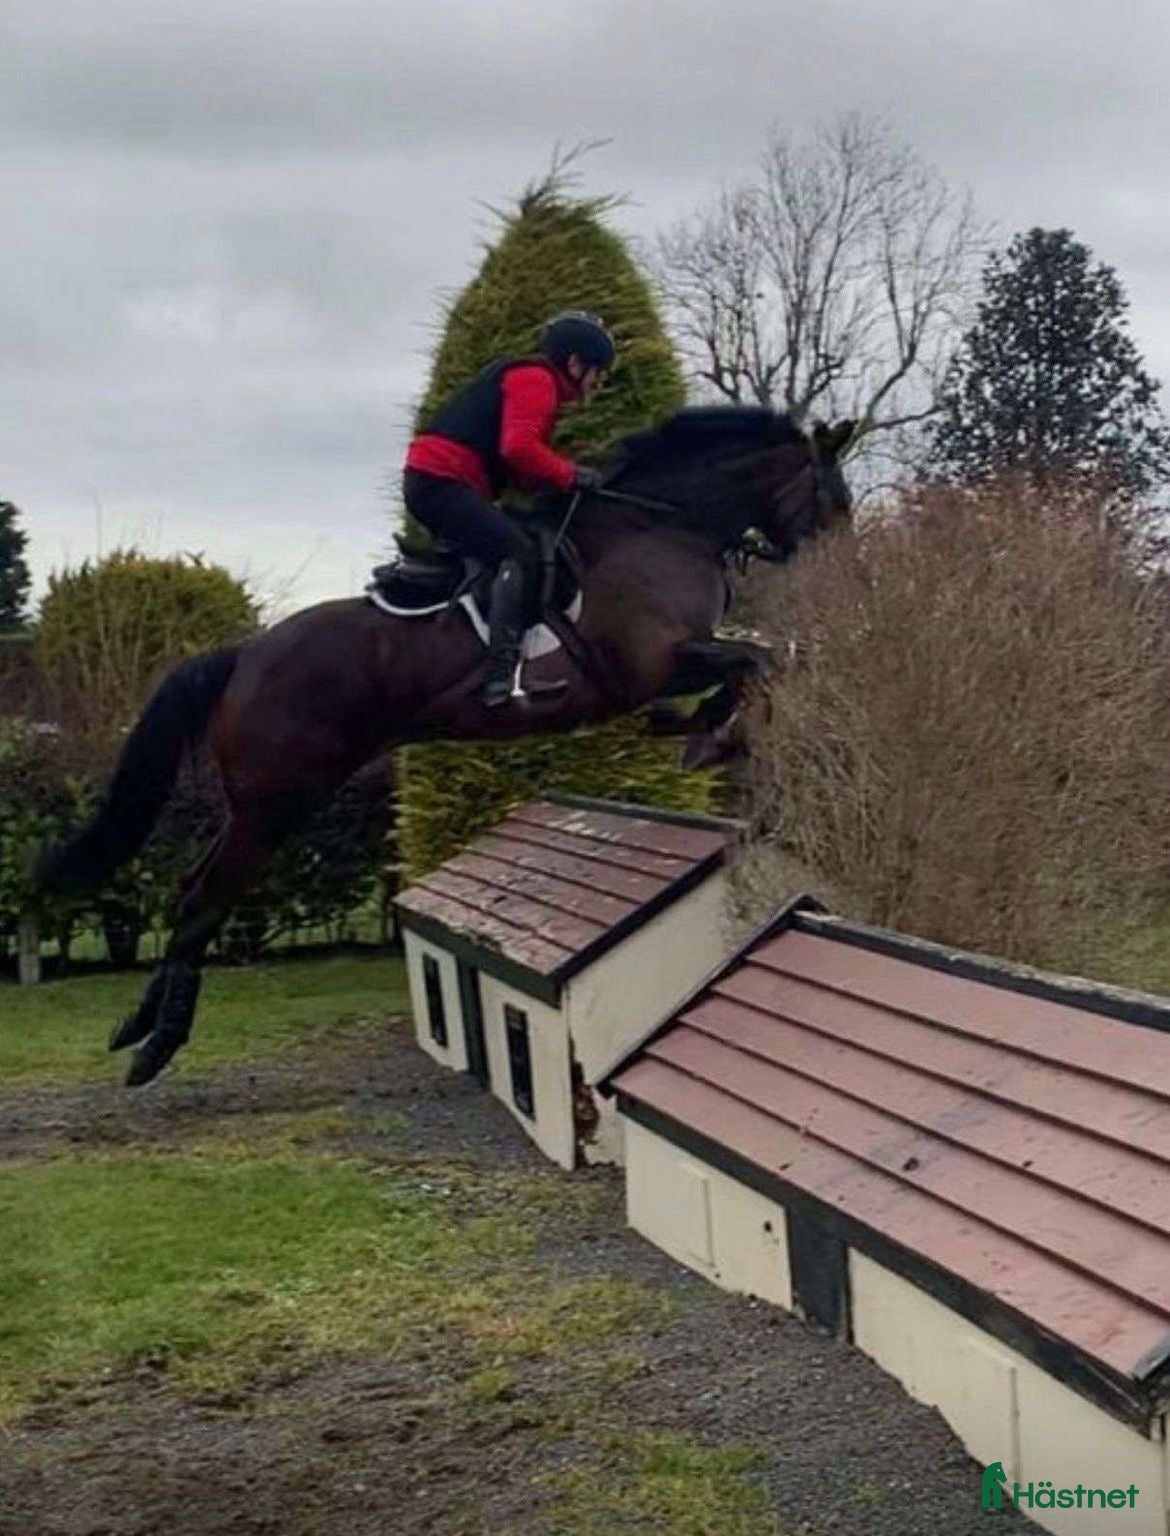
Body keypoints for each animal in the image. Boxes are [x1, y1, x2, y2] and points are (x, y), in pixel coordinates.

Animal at [36, 405, 854, 1086]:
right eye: (832, 498)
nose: (845, 569)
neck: (663, 526)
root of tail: (245, 654)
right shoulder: (654, 660)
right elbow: (755, 662)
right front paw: (706, 733)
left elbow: (762, 660)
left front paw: (699, 730)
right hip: (275, 802)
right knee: (206, 899)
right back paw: (155, 1047)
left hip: (265, 804)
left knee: (191, 892)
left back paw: (136, 1024)